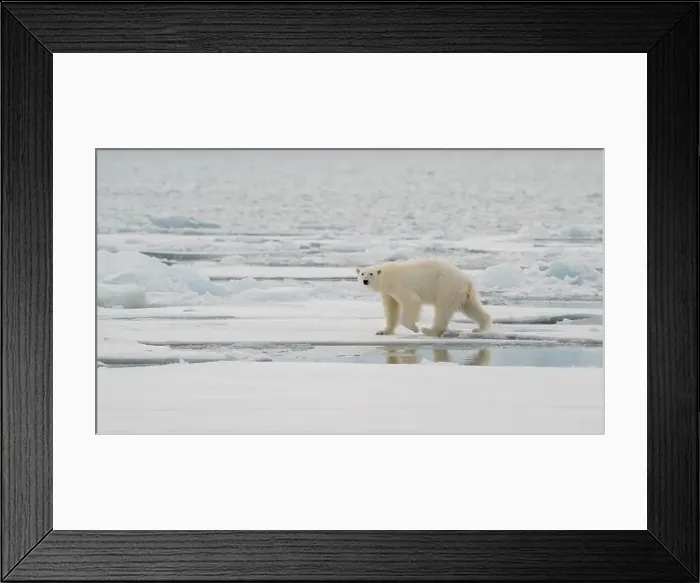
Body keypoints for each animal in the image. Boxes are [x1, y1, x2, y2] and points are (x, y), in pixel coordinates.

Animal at [356, 259, 492, 337]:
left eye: (371, 273)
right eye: (362, 273)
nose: (365, 281)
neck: (389, 276)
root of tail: (467, 280)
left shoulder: (400, 285)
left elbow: (412, 301)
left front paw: (414, 328)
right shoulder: (388, 292)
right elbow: (391, 309)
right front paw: (384, 331)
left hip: (446, 286)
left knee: (442, 309)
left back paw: (428, 330)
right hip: (463, 292)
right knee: (471, 307)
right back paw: (480, 328)